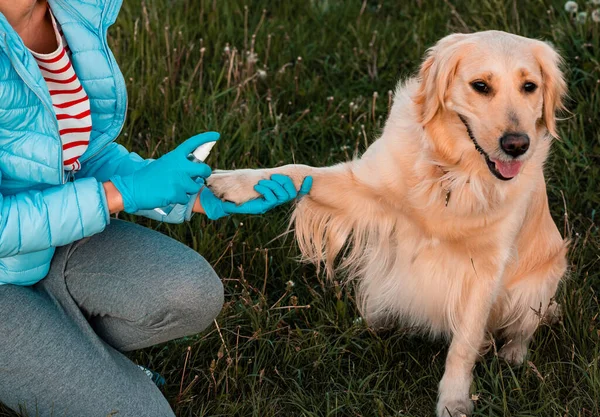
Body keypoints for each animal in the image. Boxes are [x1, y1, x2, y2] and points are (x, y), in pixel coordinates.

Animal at [206, 30, 568, 414]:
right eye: (481, 86)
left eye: (529, 86)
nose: (517, 145)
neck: (452, 174)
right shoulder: (360, 188)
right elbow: (297, 170)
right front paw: (236, 183)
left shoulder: (486, 268)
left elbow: (465, 342)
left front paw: (454, 399)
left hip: (540, 282)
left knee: (525, 326)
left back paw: (514, 355)